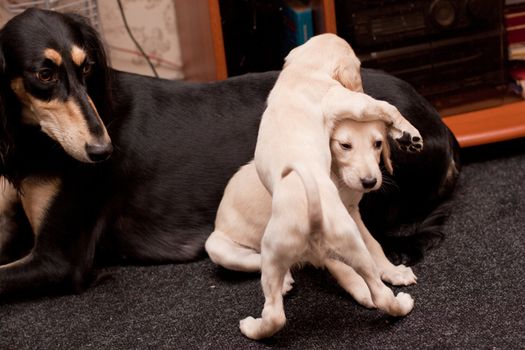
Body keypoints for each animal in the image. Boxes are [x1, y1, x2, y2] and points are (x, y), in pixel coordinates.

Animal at [242, 34, 422, 340]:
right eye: (359, 66)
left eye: (377, 145)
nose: (369, 182)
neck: (301, 72)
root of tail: (310, 219)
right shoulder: (347, 100)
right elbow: (387, 107)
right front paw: (408, 134)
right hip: (347, 239)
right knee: (378, 292)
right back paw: (400, 303)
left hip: (275, 257)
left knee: (275, 314)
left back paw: (252, 327)